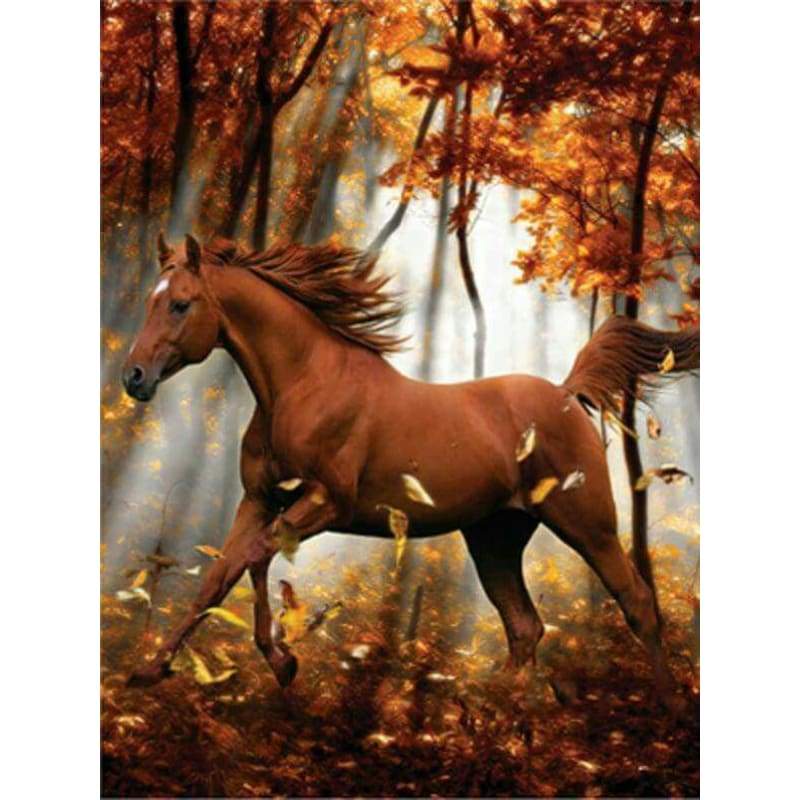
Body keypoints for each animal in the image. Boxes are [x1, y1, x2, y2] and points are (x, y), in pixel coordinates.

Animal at [121, 233, 699, 706]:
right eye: (151, 301)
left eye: (180, 304)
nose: (134, 377)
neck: (304, 384)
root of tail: (564, 394)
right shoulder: (259, 500)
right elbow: (218, 577)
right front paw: (150, 671)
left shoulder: (325, 503)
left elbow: (255, 558)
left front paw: (283, 662)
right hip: (494, 539)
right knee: (524, 627)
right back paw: (489, 712)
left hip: (587, 524)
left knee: (636, 601)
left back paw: (666, 708)